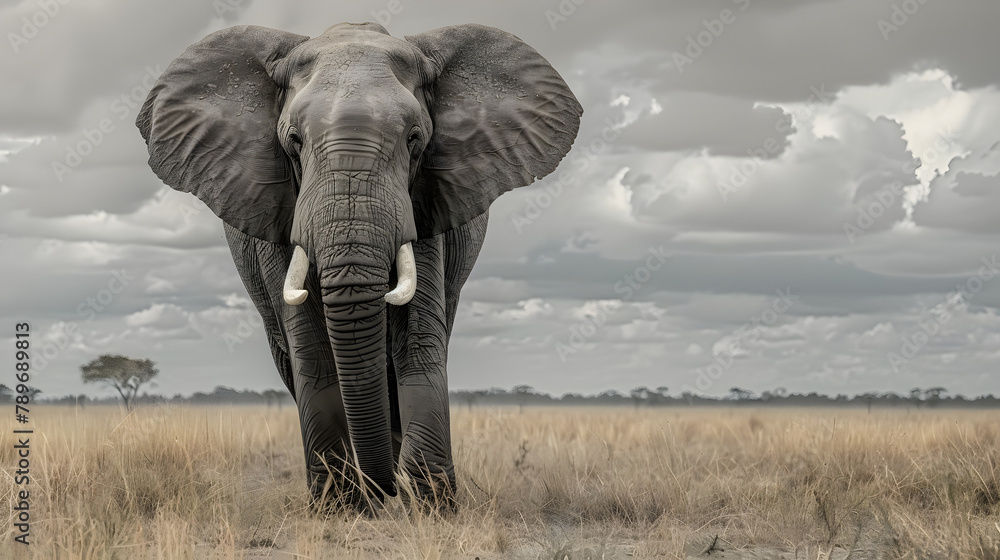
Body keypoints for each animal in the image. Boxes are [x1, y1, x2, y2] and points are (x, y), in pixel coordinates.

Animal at [136, 21, 581, 511]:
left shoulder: (426, 205)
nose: (384, 490)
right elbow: (311, 347)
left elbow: (417, 339)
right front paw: (339, 508)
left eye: (415, 139)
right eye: (293, 142)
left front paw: (430, 507)